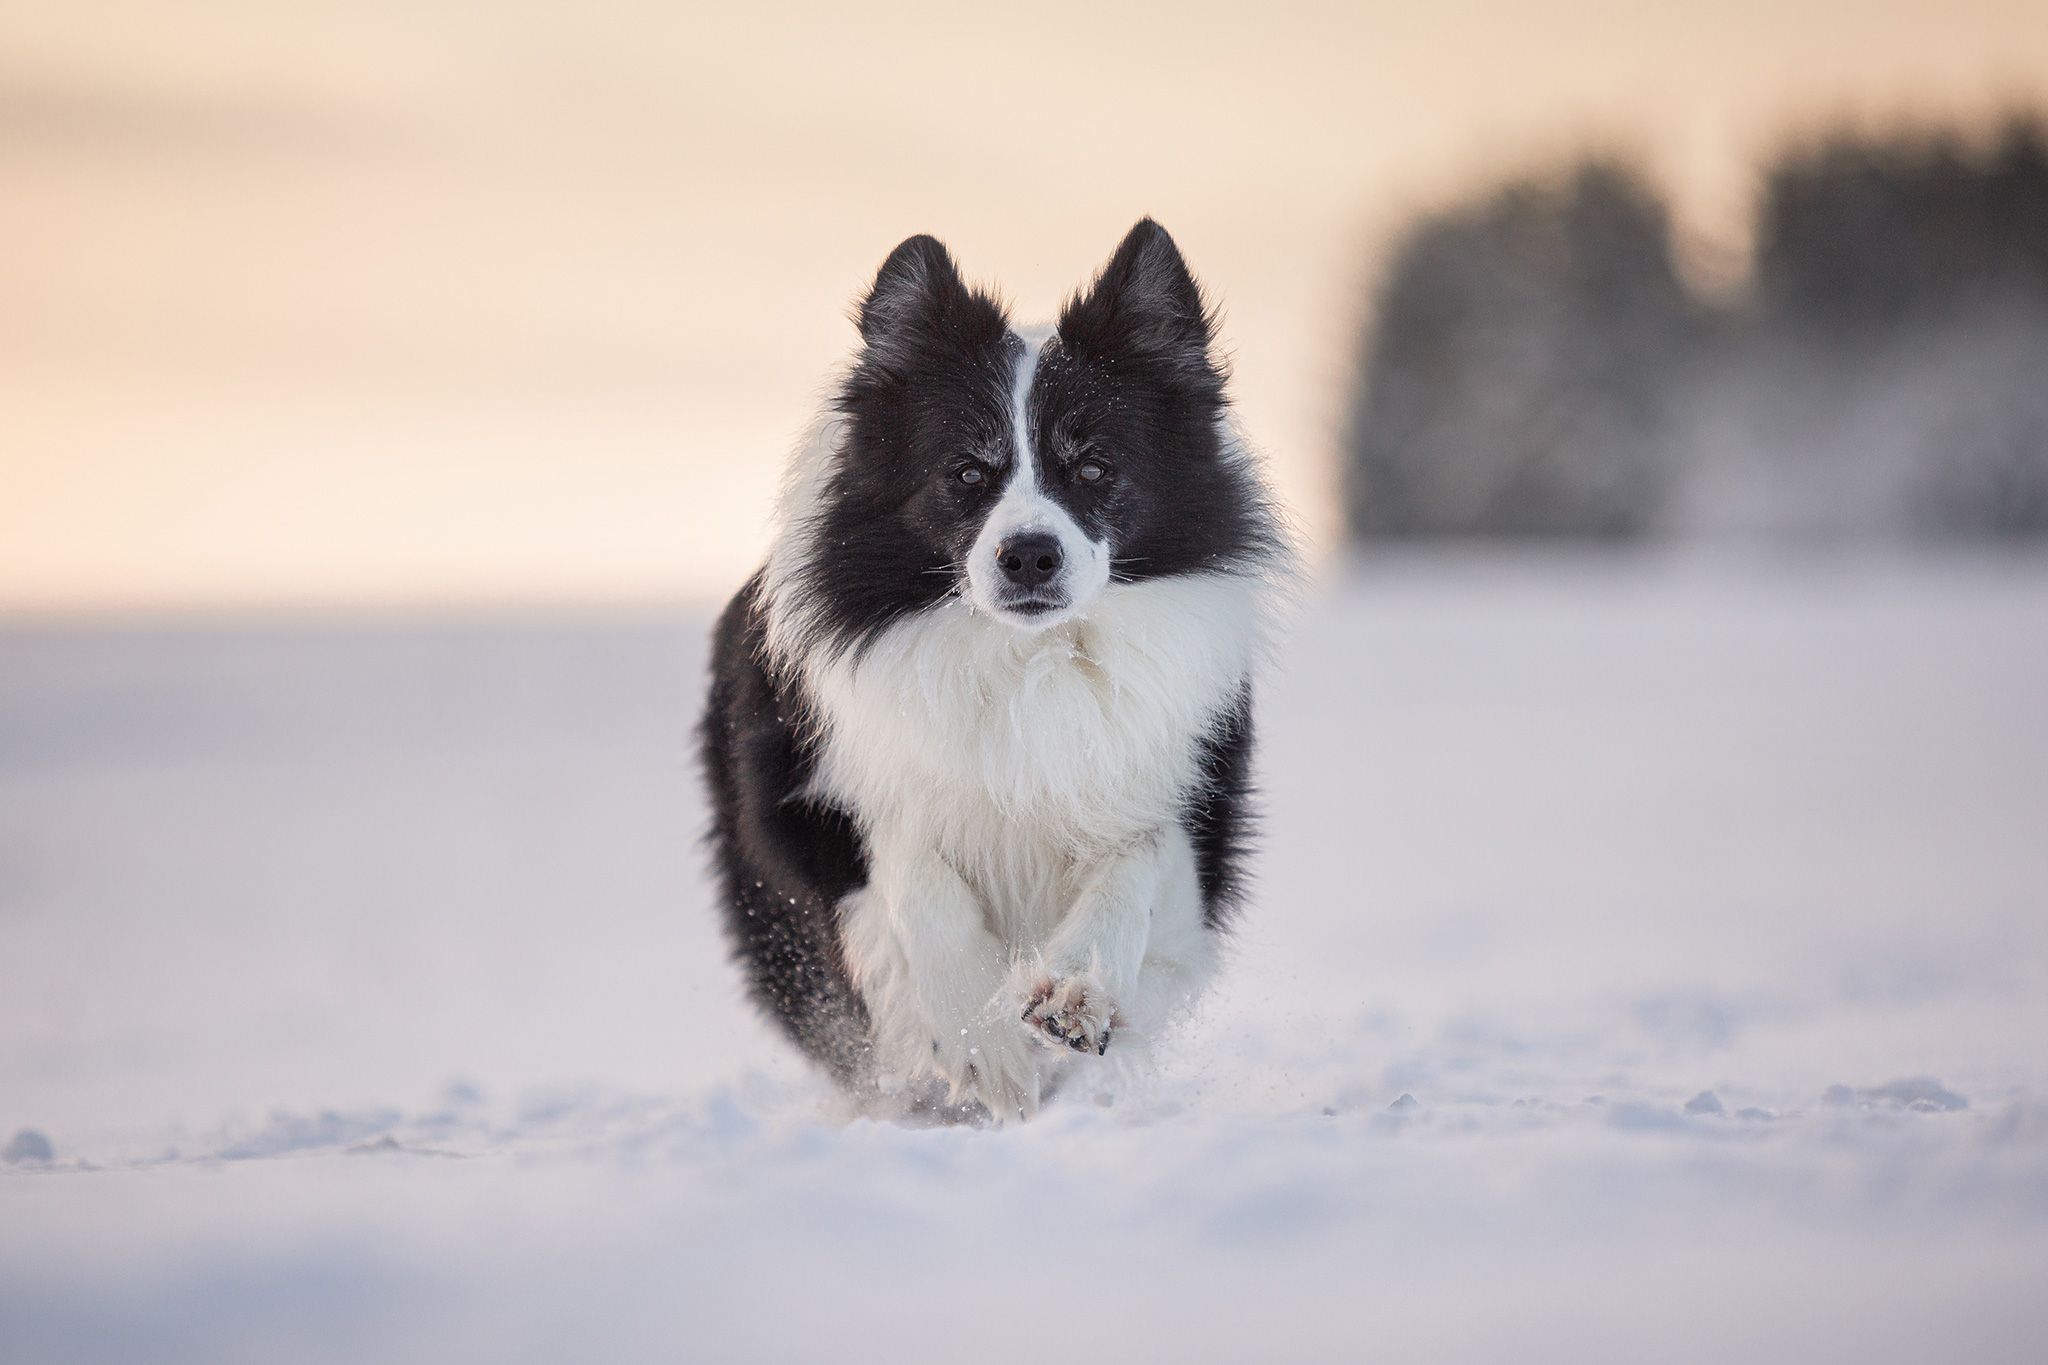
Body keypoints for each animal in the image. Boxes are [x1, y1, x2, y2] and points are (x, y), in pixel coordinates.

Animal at [696, 222, 1286, 1121]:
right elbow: (912, 872)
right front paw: (984, 1046)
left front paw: (1075, 990)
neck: (1026, 659)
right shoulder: (816, 800)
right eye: (968, 471)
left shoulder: (1189, 788)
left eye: (1093, 467)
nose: (1029, 554)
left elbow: (1140, 854)